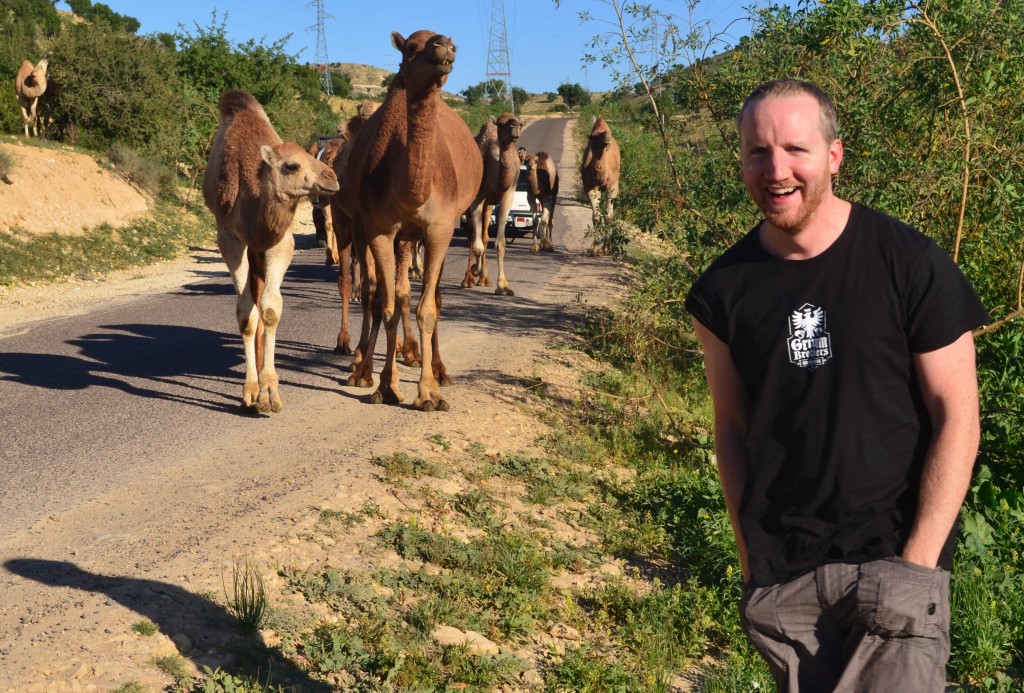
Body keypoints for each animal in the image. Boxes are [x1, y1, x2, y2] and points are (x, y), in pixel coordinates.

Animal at [203, 86, 339, 411]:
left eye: (310, 155)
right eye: (292, 165)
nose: (332, 177)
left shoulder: (280, 242)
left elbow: (270, 309)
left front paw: (270, 392)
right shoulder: (230, 238)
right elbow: (246, 313)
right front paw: (251, 392)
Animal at [333, 31, 481, 411]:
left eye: (453, 46)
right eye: (412, 48)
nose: (444, 49)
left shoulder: (439, 230)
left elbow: (426, 308)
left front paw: (429, 393)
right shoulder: (379, 230)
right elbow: (385, 305)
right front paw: (383, 385)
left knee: (431, 298)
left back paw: (438, 368)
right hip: (357, 226)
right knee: (376, 291)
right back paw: (361, 363)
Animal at [466, 112, 528, 294]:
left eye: (520, 123)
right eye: (501, 124)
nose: (515, 128)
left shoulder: (507, 195)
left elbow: (499, 243)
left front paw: (503, 286)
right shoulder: (477, 198)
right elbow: (477, 244)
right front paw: (476, 269)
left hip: (489, 204)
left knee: (484, 236)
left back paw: (484, 279)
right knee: (472, 236)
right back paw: (469, 279)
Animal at [581, 114, 618, 252]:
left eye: (608, 133)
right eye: (593, 136)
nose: (607, 136)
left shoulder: (612, 186)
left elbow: (608, 216)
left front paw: (606, 247)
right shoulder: (589, 186)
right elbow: (596, 216)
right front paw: (595, 248)